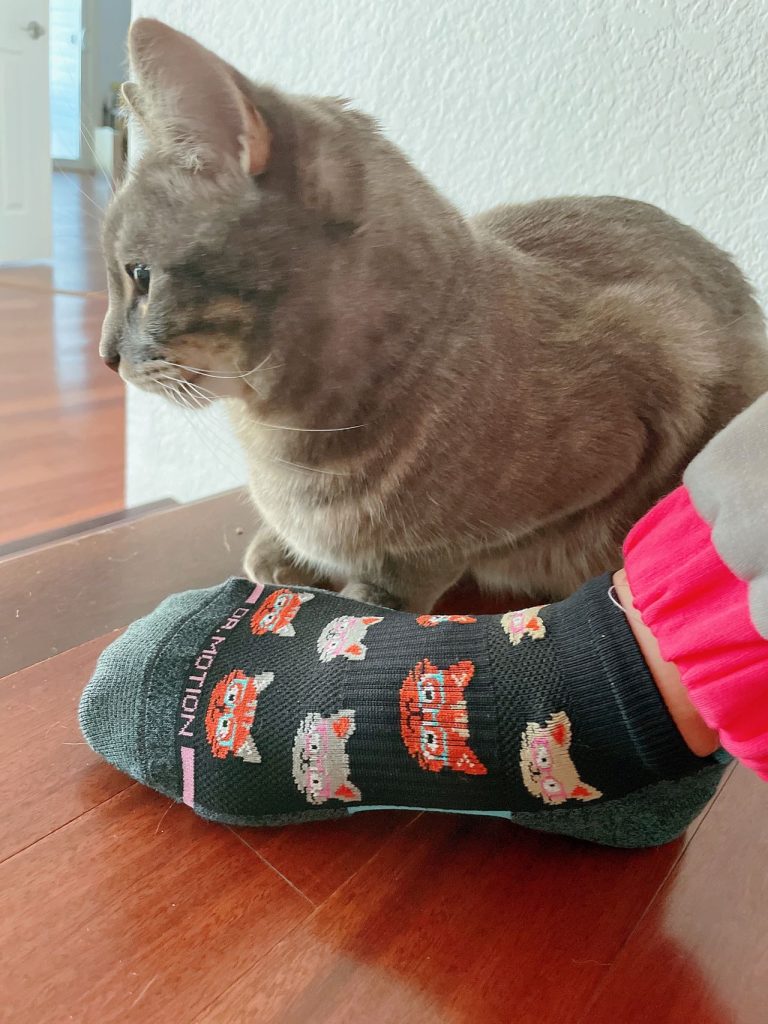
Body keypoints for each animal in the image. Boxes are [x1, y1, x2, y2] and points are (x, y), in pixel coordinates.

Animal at [101, 18, 768, 611]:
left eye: (140, 276)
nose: (106, 357)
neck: (283, 438)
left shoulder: (648, 393)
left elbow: (431, 556)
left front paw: (367, 594)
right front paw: (282, 552)